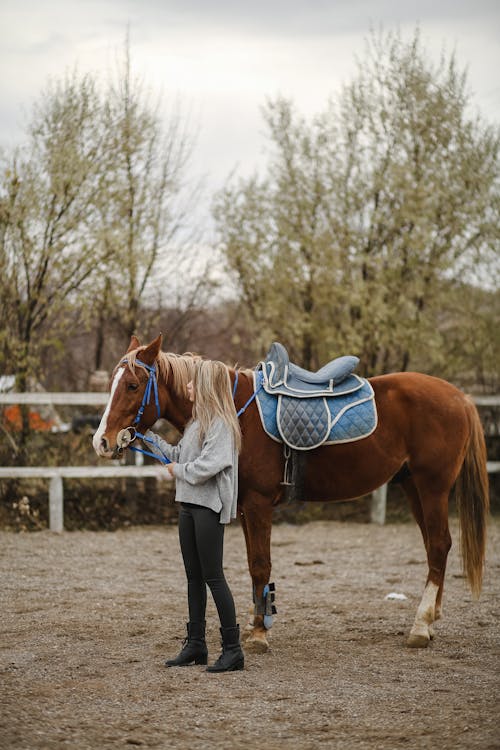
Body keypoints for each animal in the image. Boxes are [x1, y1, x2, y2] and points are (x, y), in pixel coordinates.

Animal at [93, 334, 488, 652]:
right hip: (412, 486)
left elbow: (260, 564)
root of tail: (460, 396)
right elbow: (253, 566)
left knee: (438, 544)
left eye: (132, 385)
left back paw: (420, 626)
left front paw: (258, 634)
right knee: (436, 545)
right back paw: (431, 619)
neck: (234, 412)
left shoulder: (258, 504)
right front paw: (256, 624)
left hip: (432, 486)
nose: (102, 441)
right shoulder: (245, 507)